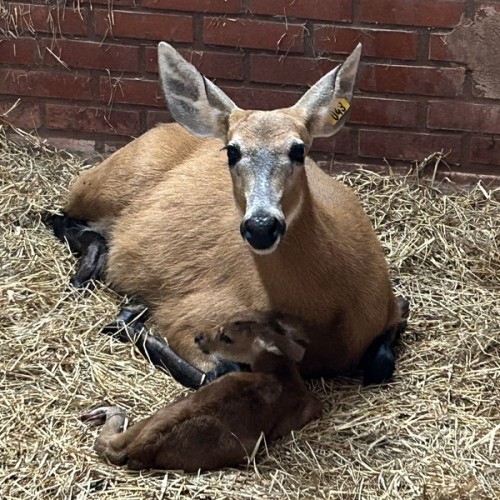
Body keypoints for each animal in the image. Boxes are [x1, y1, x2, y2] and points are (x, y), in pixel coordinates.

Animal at [52, 42, 408, 386]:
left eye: (298, 149)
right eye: (232, 151)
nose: (261, 225)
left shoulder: (392, 306)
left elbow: (381, 363)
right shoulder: (188, 314)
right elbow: (219, 372)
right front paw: (130, 319)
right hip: (105, 184)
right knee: (59, 215)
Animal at [80, 312, 322, 472]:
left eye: (227, 337)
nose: (198, 337)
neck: (281, 374)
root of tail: (143, 446)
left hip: (165, 410)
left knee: (109, 442)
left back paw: (99, 413)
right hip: (244, 448)